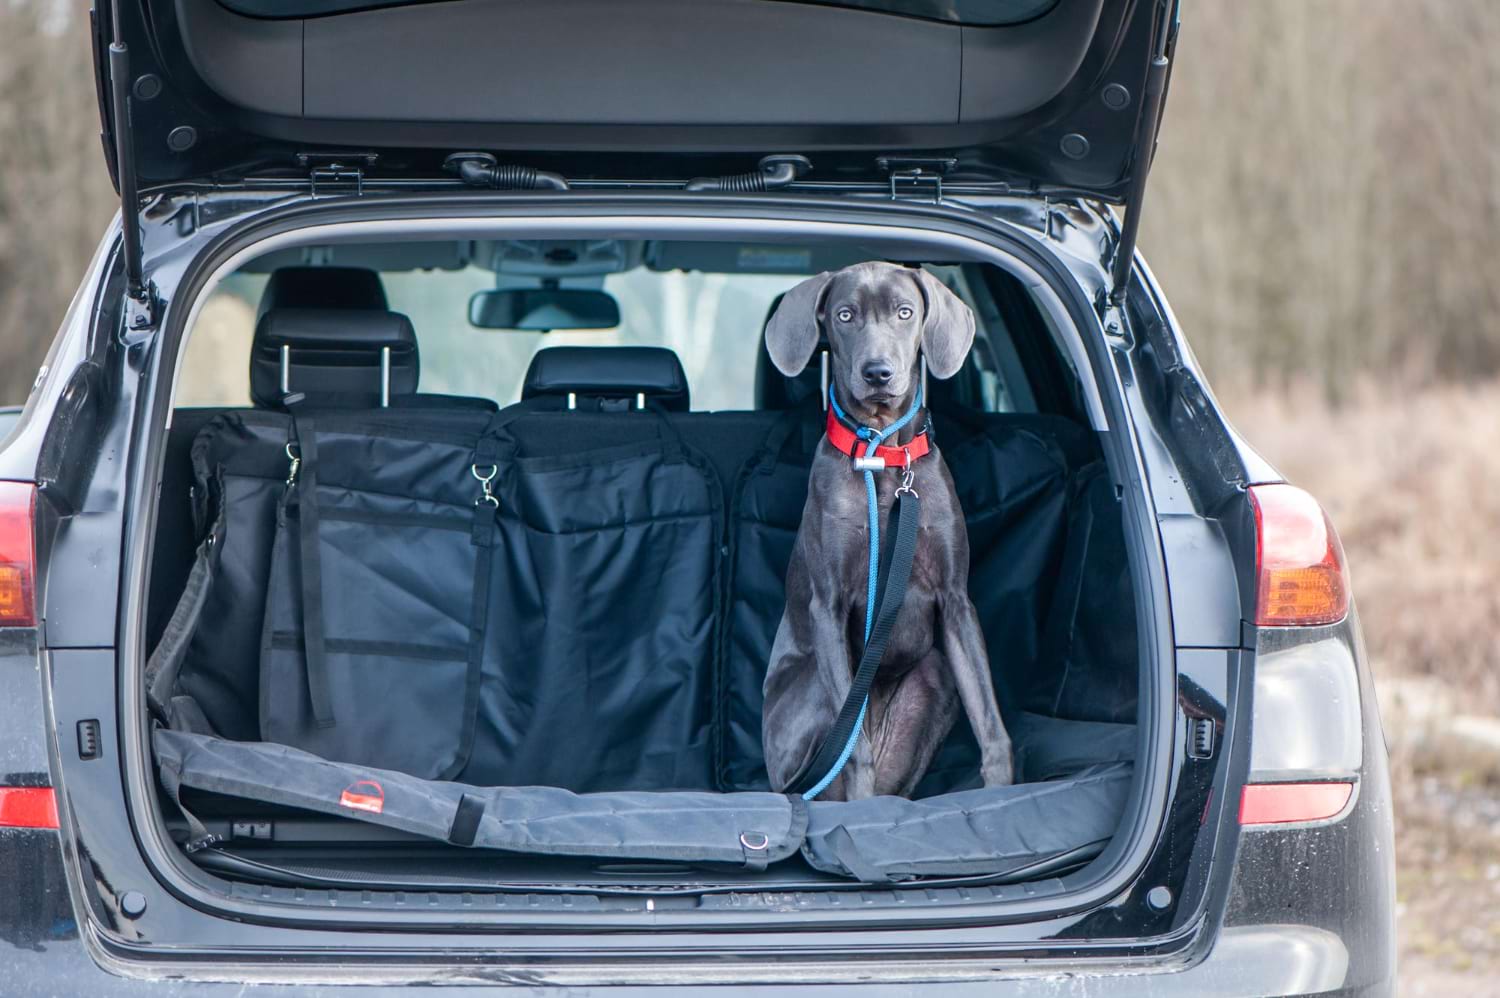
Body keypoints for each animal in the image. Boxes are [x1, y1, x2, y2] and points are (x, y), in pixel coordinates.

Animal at [761, 262, 1013, 801]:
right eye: (845, 315)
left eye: (905, 312)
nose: (878, 372)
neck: (882, 455)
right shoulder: (828, 607)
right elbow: (852, 751)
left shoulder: (957, 602)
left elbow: (991, 725)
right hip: (816, 694)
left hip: (935, 675)